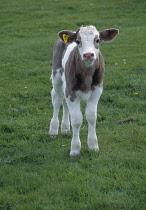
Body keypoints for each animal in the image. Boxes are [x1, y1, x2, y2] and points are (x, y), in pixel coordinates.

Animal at [49, 25, 118, 156]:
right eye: (78, 41)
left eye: (97, 40)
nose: (88, 55)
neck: (87, 74)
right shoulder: (71, 91)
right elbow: (76, 119)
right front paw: (75, 149)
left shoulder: (97, 90)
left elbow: (91, 116)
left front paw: (93, 145)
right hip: (57, 77)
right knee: (57, 100)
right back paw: (53, 129)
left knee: (64, 103)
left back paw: (65, 128)